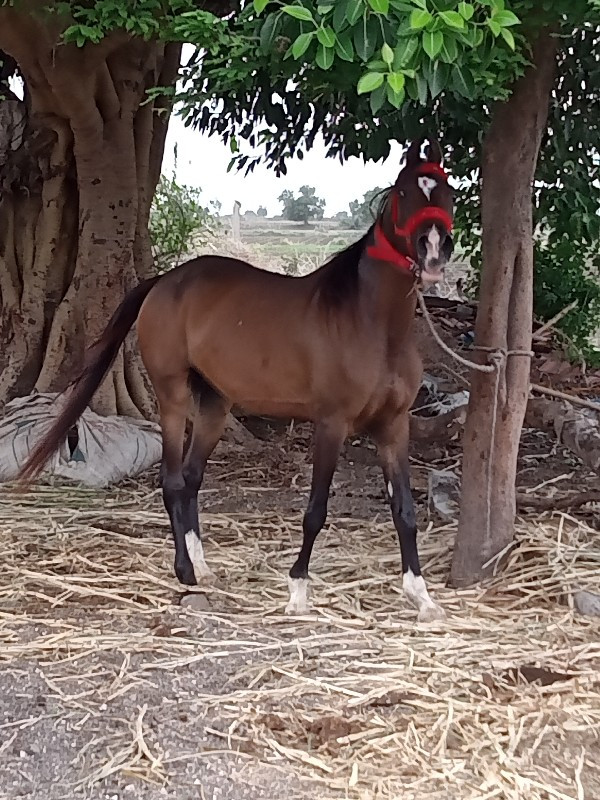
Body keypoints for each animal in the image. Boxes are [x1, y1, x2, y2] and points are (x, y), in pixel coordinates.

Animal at [19, 136, 454, 624]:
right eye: (404, 192)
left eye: (448, 190)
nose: (434, 248)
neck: (371, 323)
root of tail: (165, 281)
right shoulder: (332, 423)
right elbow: (316, 510)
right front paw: (297, 592)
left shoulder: (394, 426)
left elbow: (405, 510)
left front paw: (422, 596)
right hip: (172, 396)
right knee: (173, 481)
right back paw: (186, 571)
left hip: (214, 403)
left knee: (191, 479)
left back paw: (204, 567)